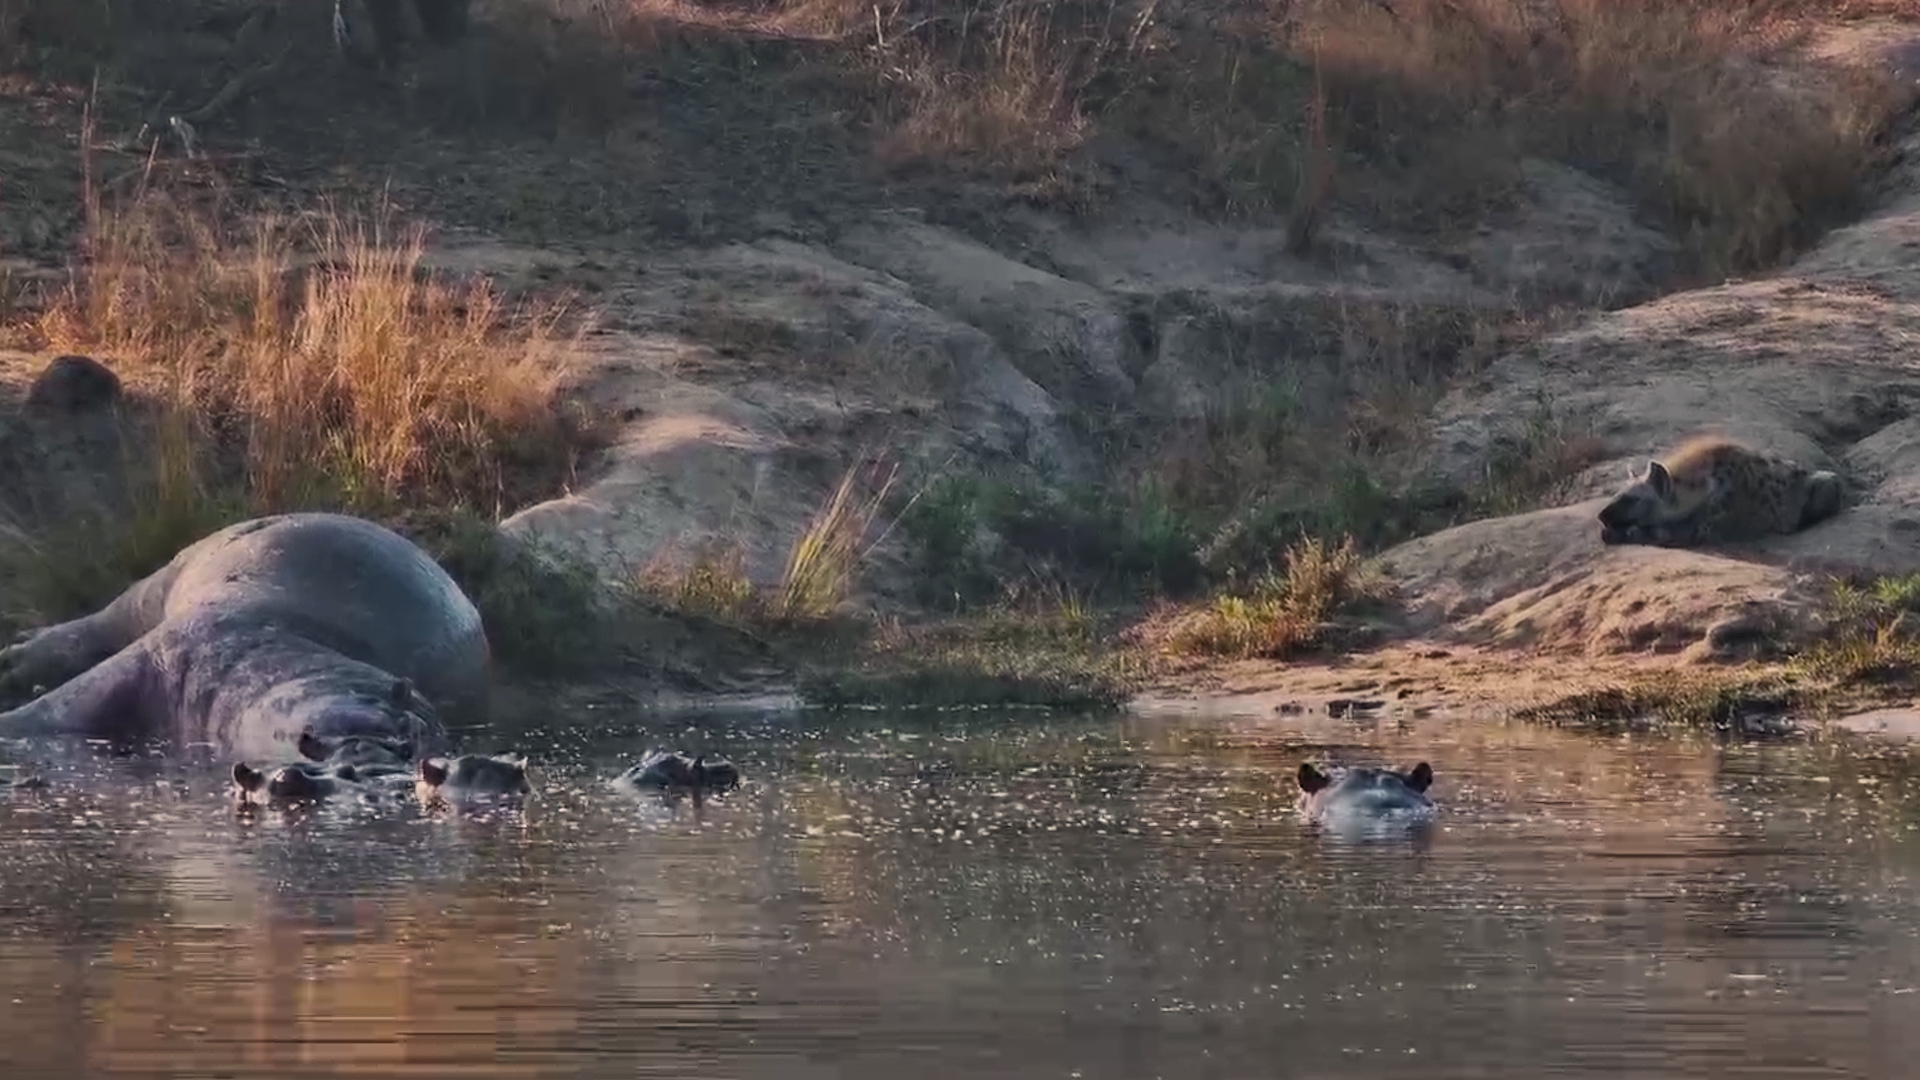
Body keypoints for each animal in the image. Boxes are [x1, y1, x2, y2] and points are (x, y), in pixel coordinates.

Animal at [0, 513, 491, 763]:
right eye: (398, 700)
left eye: (413, 737)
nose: (368, 752)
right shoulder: (159, 651)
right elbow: (55, 707)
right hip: (154, 588)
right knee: (89, 629)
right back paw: (14, 657)